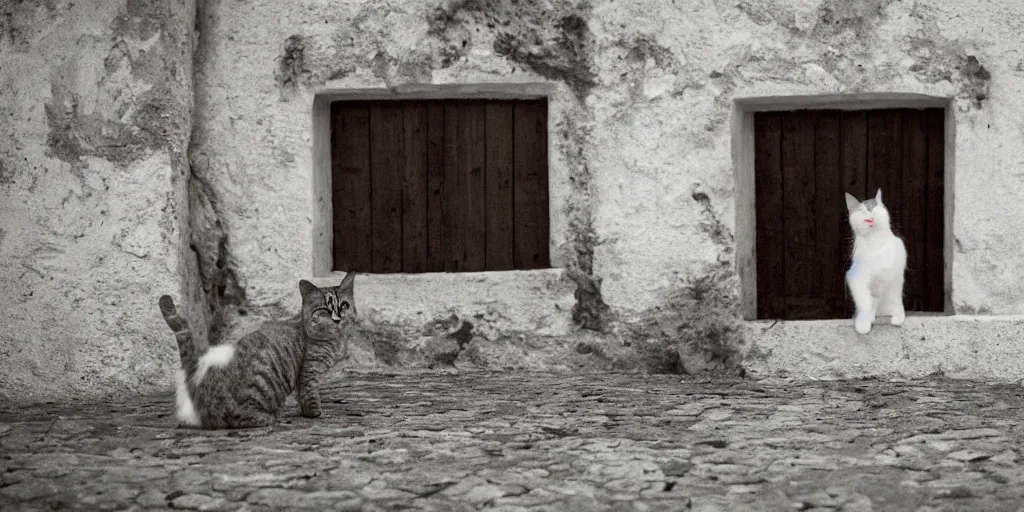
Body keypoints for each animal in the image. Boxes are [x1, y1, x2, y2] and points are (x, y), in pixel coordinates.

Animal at [155, 274, 356, 430]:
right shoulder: (309, 371)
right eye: (324, 309)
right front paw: (315, 413)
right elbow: (310, 394)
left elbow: (301, 396)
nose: (338, 319)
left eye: (343, 305)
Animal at [843, 190, 909, 333]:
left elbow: (877, 299)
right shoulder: (856, 276)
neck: (875, 242)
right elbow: (865, 301)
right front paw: (863, 323)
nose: (869, 211)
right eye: (861, 210)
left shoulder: (885, 276)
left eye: (874, 207)